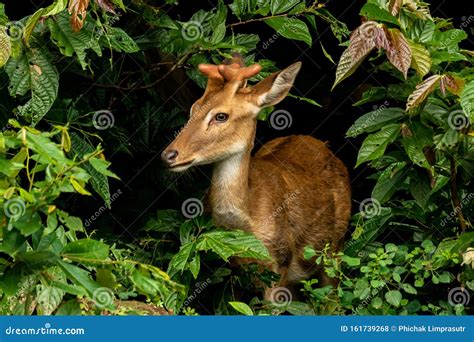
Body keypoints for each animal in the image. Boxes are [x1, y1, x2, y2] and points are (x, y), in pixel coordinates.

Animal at [163, 53, 352, 302]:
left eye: (221, 116)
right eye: (193, 109)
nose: (168, 155)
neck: (249, 223)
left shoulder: (281, 261)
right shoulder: (233, 268)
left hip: (335, 249)